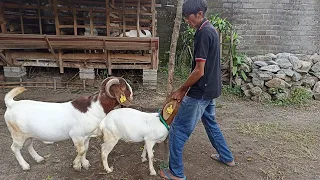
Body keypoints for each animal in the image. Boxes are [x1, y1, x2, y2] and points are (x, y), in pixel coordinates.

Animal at [3, 76, 132, 171]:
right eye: (124, 87)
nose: (131, 96)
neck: (95, 107)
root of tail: (11, 104)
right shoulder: (77, 135)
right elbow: (81, 150)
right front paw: (76, 165)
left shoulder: (86, 136)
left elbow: (85, 149)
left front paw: (85, 164)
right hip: (18, 135)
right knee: (15, 148)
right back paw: (25, 165)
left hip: (28, 134)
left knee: (29, 145)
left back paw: (38, 158)